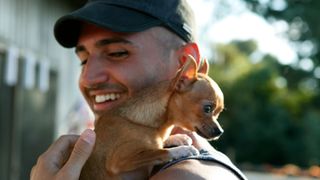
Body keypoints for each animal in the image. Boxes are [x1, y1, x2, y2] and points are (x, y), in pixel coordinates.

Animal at [80, 54, 225, 180]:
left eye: (218, 113)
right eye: (207, 109)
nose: (220, 131)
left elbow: (159, 145)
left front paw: (178, 138)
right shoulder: (120, 159)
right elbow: (160, 152)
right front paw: (182, 150)